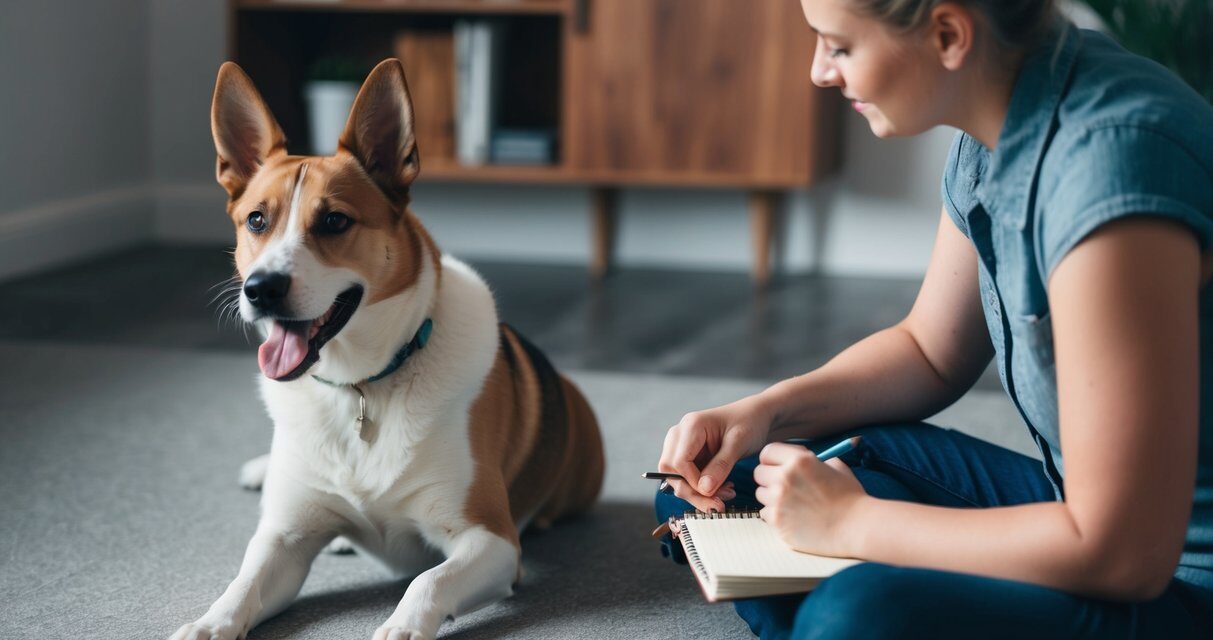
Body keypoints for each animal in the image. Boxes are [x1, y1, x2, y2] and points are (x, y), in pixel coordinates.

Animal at [168, 58, 604, 640]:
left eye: (334, 220)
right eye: (257, 220)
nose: (261, 289)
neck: (359, 386)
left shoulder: (491, 540)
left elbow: (427, 581)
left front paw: (402, 627)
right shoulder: (284, 539)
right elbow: (244, 583)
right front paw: (210, 623)